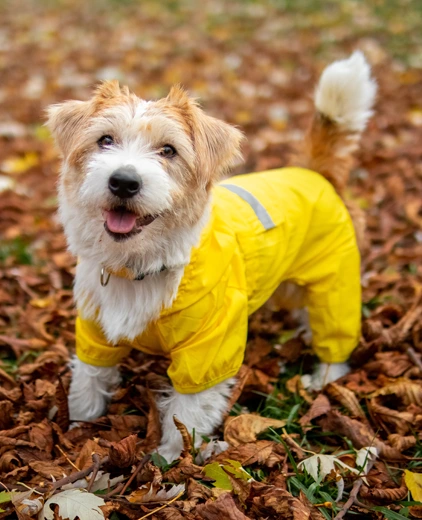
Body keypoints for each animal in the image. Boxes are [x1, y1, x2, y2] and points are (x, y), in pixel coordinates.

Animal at [47, 51, 376, 460]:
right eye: (104, 140)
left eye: (168, 150)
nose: (123, 181)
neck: (141, 265)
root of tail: (316, 173)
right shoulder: (94, 329)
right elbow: (88, 380)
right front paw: (78, 428)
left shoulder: (207, 349)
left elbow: (186, 411)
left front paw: (170, 459)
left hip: (335, 282)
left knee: (335, 331)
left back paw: (325, 376)